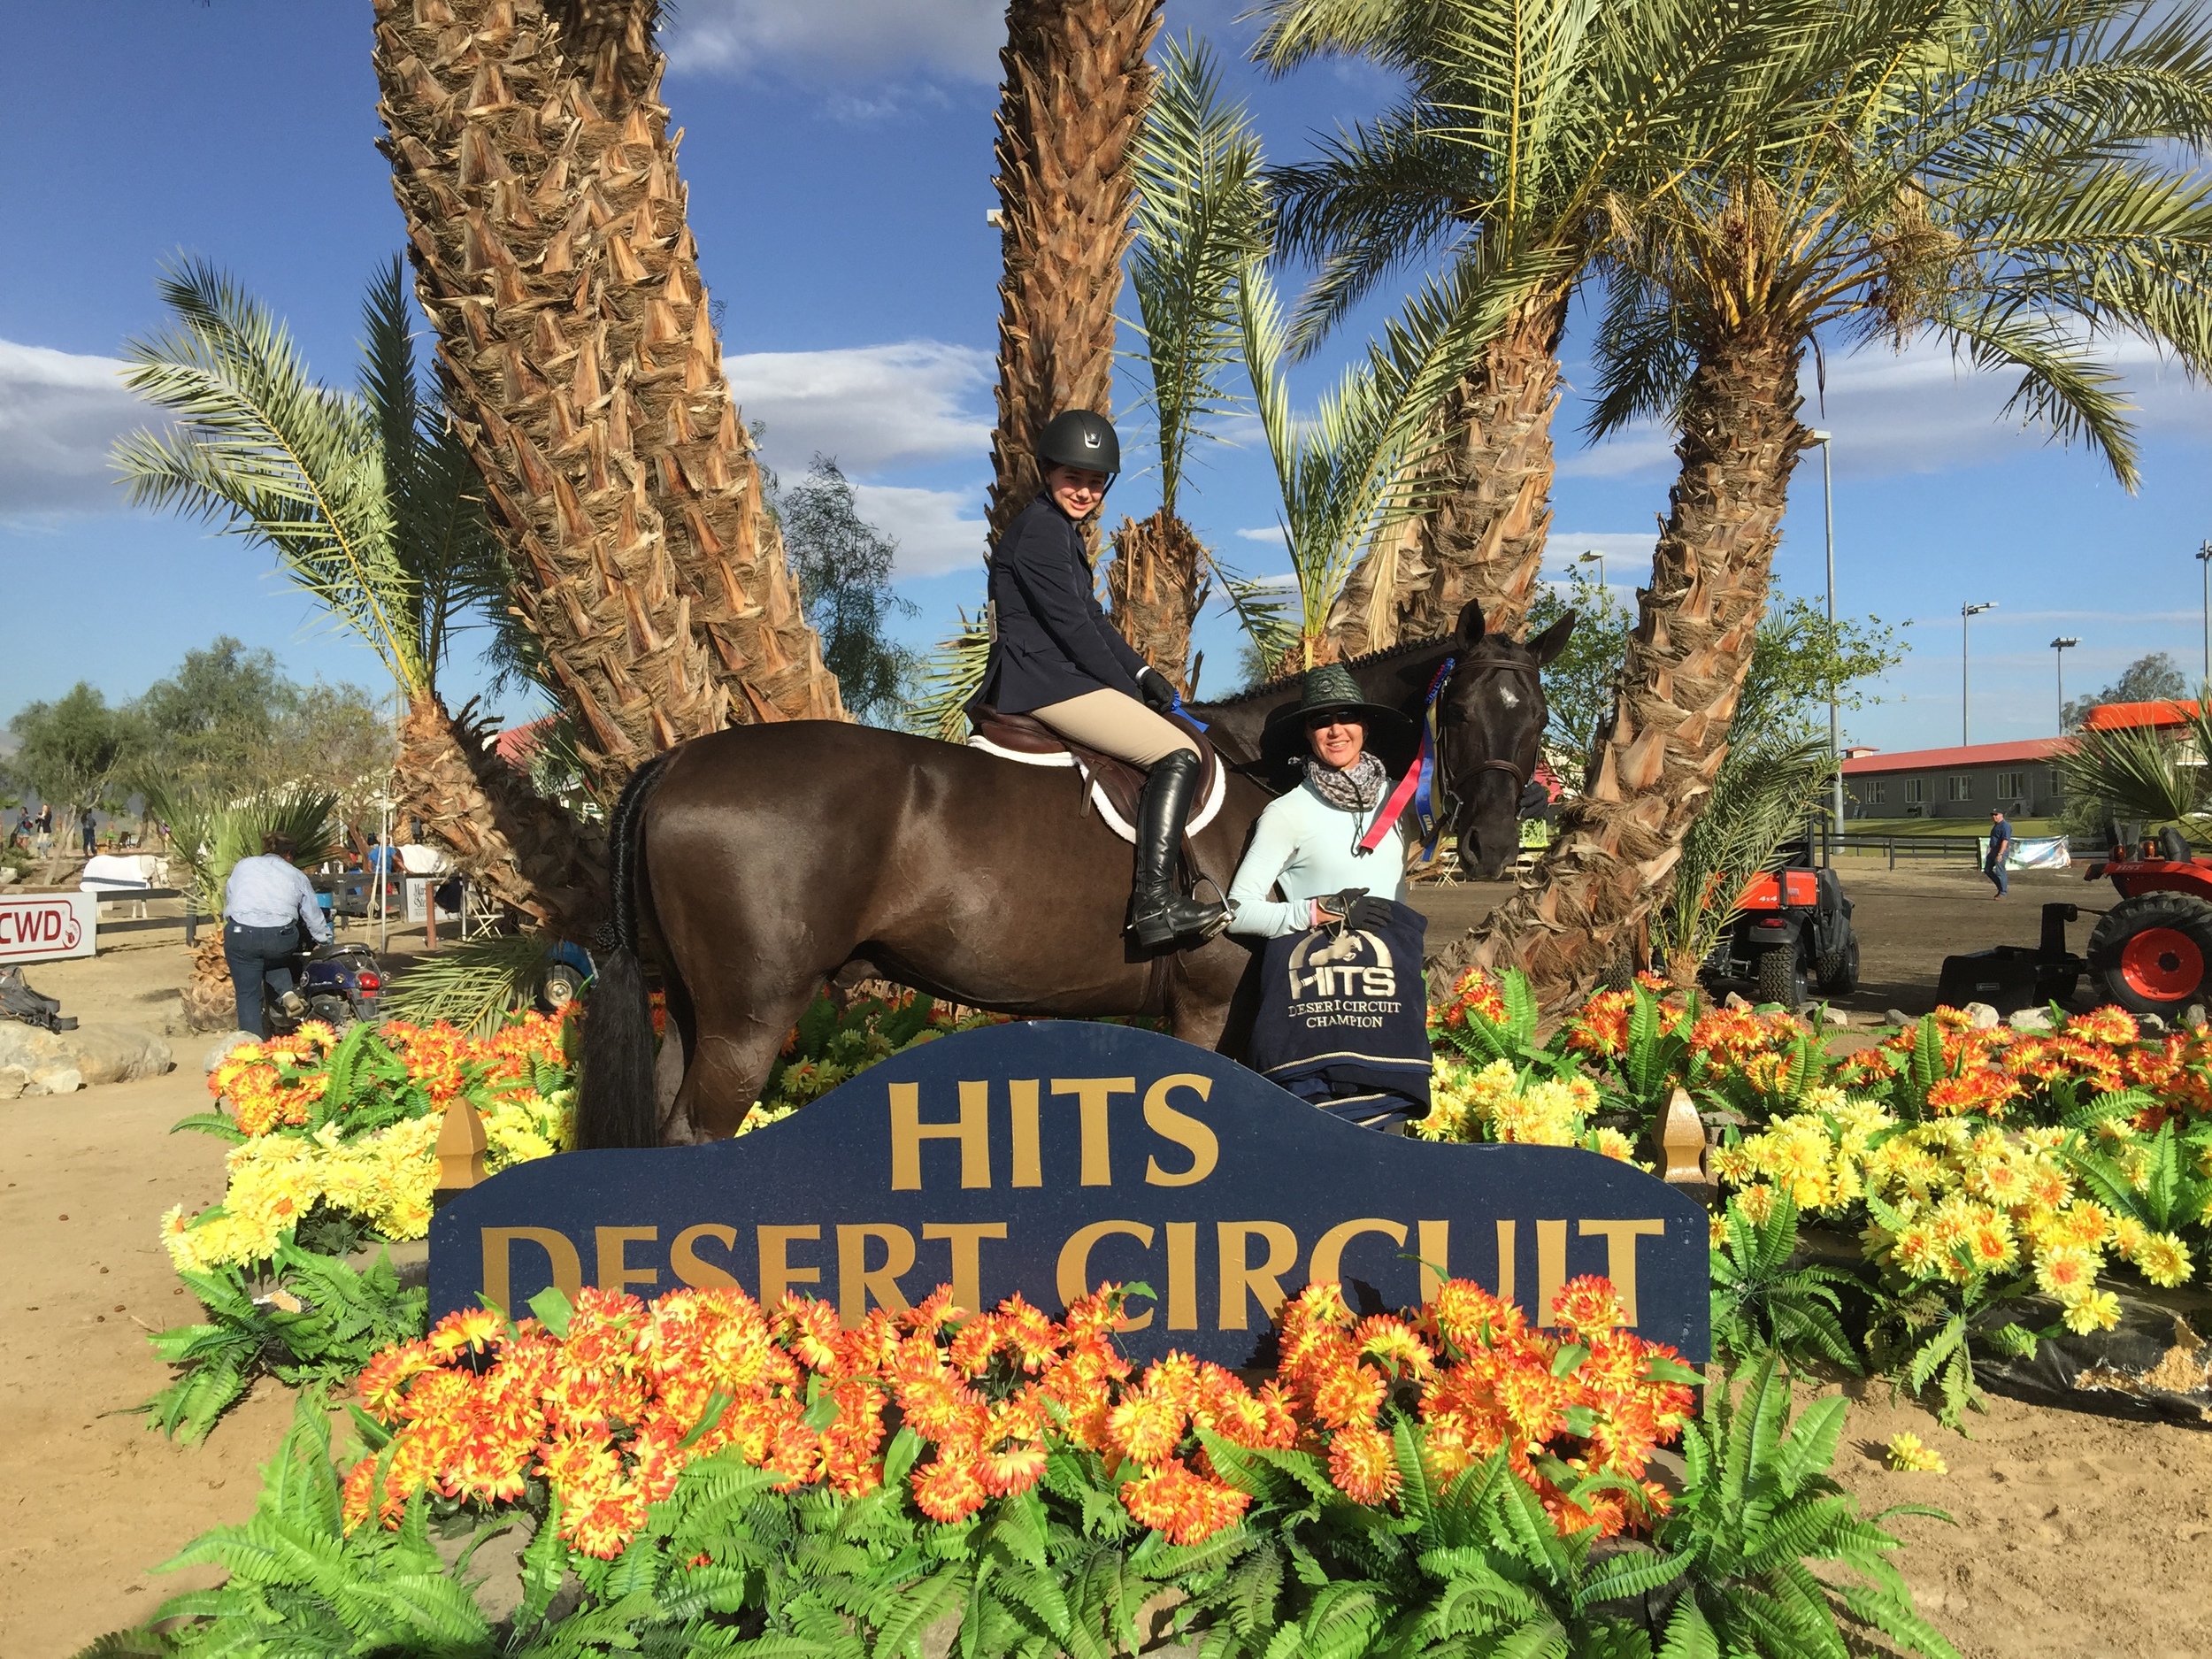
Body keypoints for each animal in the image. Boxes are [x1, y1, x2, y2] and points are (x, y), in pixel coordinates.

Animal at [575, 606, 1575, 1150]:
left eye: (1537, 714)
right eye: (1463, 709)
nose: (1493, 844)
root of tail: (676, 761)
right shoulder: (1210, 1005)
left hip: (697, 1008)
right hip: (751, 1014)